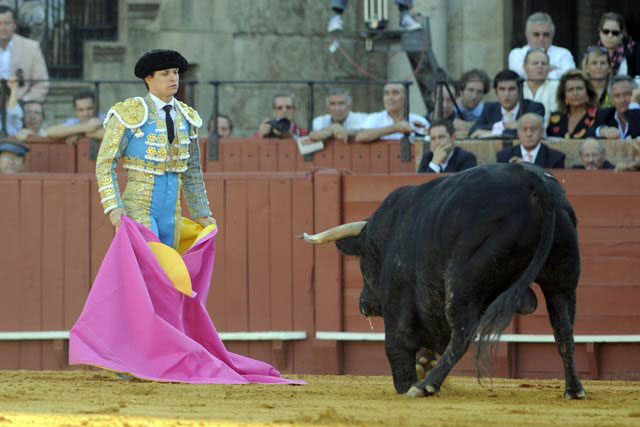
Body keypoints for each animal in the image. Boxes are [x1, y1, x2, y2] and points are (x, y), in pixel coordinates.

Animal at [304, 165, 584, 402]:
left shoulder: (399, 301)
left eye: (362, 258)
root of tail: (531, 180)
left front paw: (406, 383)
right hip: (562, 279)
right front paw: (424, 363)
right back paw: (574, 390)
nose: (364, 305)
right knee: (564, 329)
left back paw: (424, 386)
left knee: (462, 333)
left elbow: (398, 343)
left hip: (462, 284)